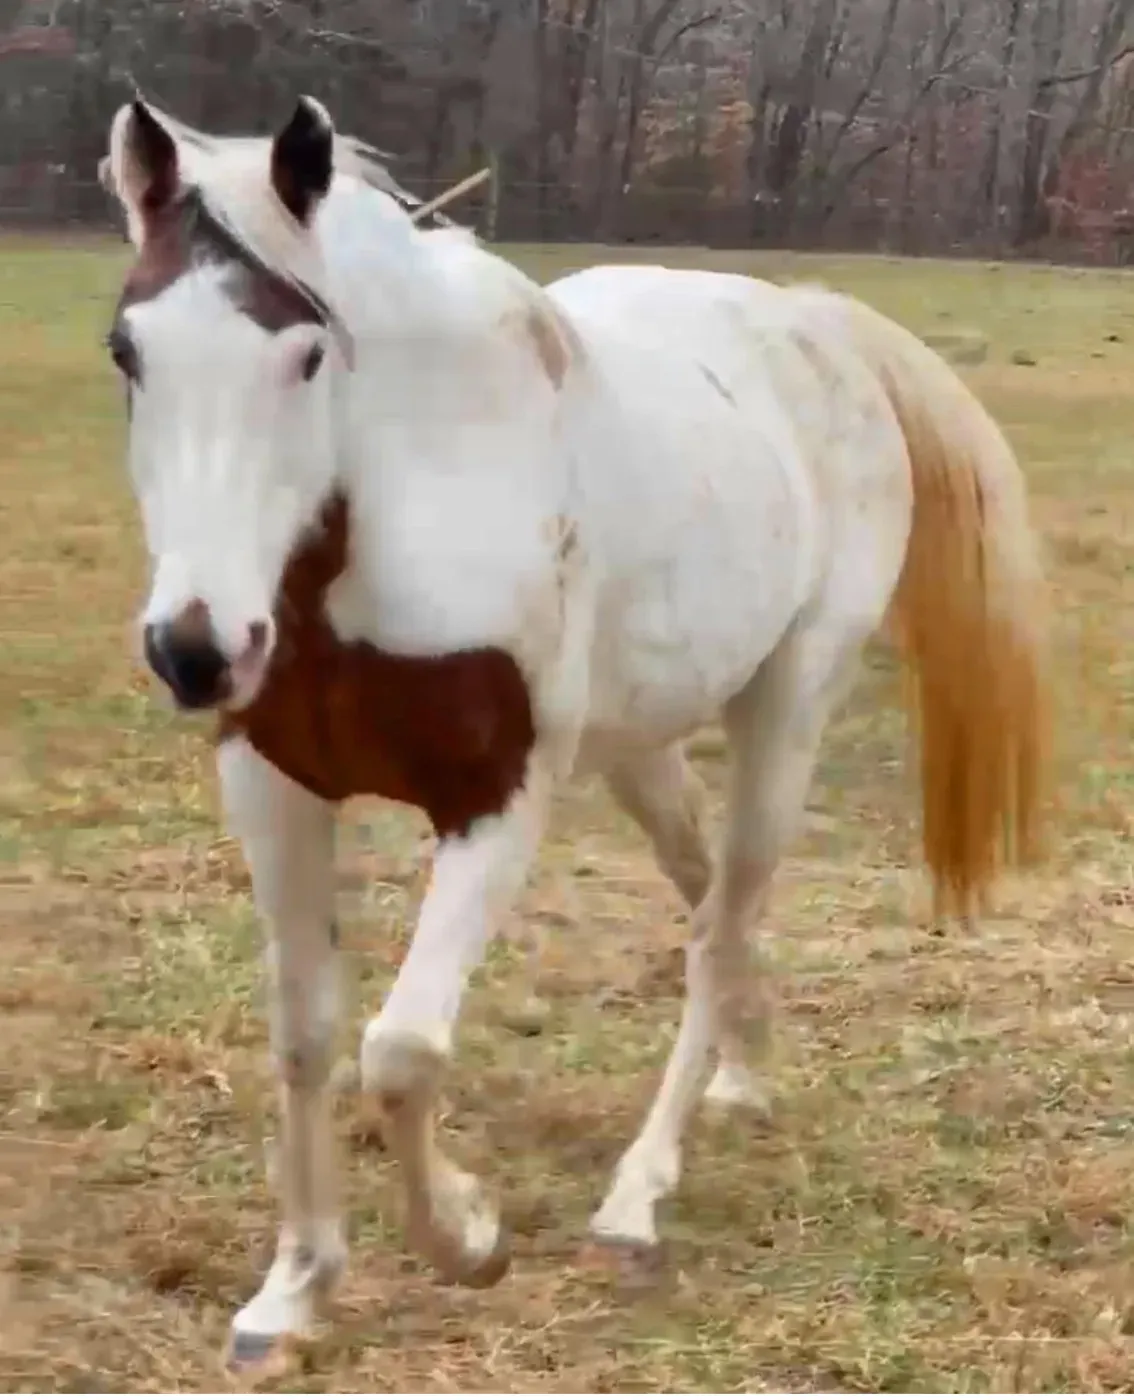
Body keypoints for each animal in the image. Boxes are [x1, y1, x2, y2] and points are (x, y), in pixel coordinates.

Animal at [99, 94, 1050, 1370]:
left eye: (303, 355)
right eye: (129, 350)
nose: (197, 650)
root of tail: (814, 324)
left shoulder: (498, 801)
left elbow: (401, 1049)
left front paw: (469, 1232)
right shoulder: (276, 784)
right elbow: (305, 1033)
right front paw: (291, 1291)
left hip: (785, 714)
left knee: (717, 922)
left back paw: (638, 1195)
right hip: (643, 748)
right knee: (709, 904)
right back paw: (740, 1080)